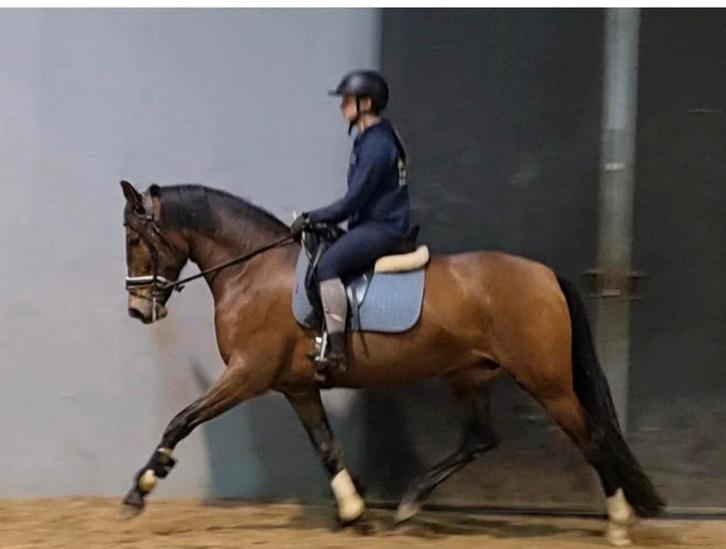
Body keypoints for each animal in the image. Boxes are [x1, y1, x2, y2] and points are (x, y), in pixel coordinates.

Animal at [120, 180, 664, 546]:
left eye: (134, 240)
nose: (138, 310)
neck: (253, 270)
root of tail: (546, 275)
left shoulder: (247, 375)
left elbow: (182, 420)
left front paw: (140, 489)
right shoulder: (296, 387)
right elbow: (327, 447)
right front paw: (353, 511)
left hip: (547, 383)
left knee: (591, 436)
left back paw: (618, 522)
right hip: (470, 376)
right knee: (482, 438)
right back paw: (410, 501)